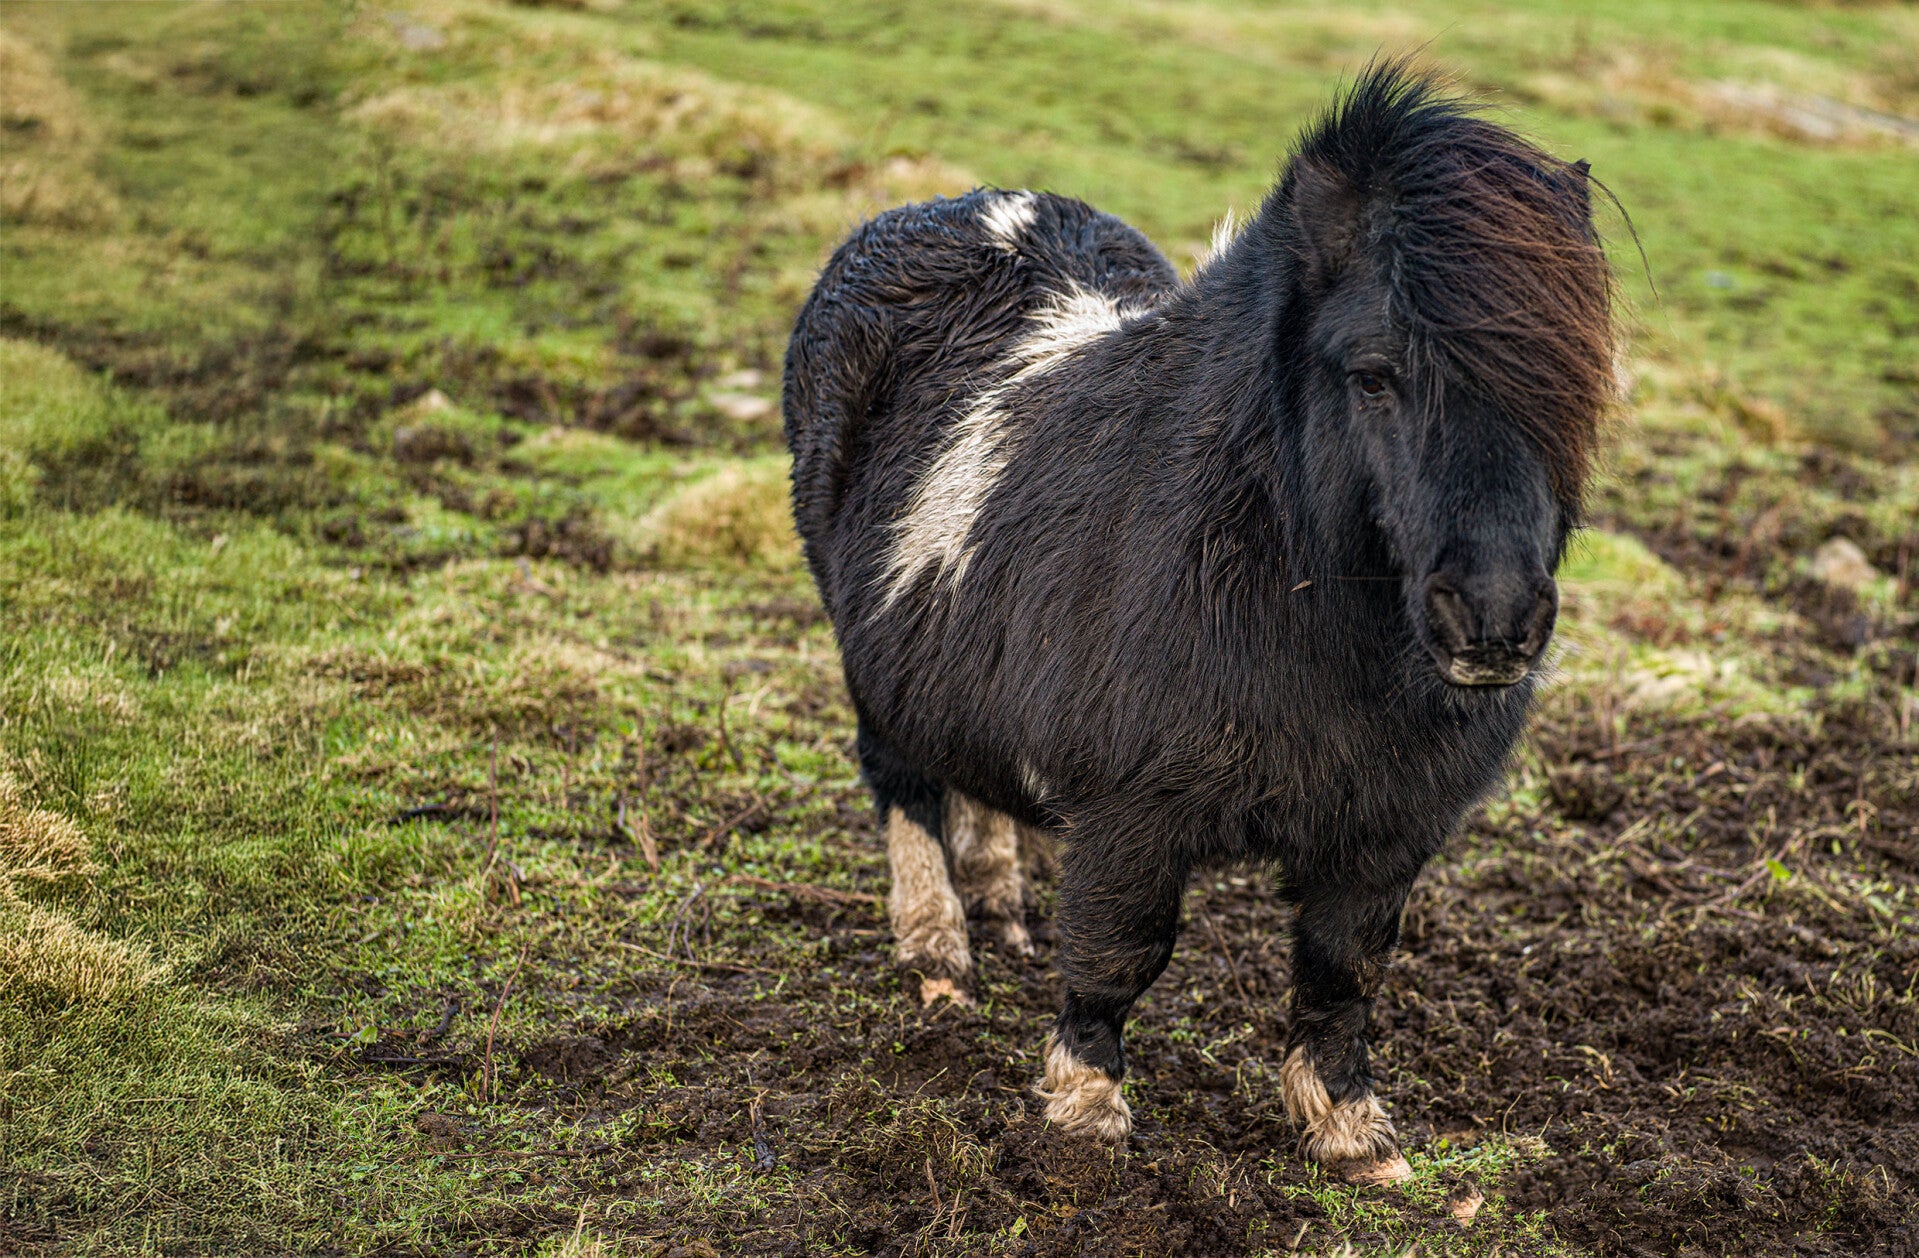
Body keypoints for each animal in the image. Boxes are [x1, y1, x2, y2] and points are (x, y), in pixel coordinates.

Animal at [781, 62, 1614, 1182]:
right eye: (1372, 373)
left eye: (1573, 389)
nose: (1490, 619)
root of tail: (961, 207)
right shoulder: (1130, 812)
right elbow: (1117, 949)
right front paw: (1084, 1114)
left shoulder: (1385, 829)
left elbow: (1343, 971)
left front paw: (1350, 1134)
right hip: (869, 658)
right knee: (902, 783)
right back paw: (937, 956)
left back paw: (997, 907)